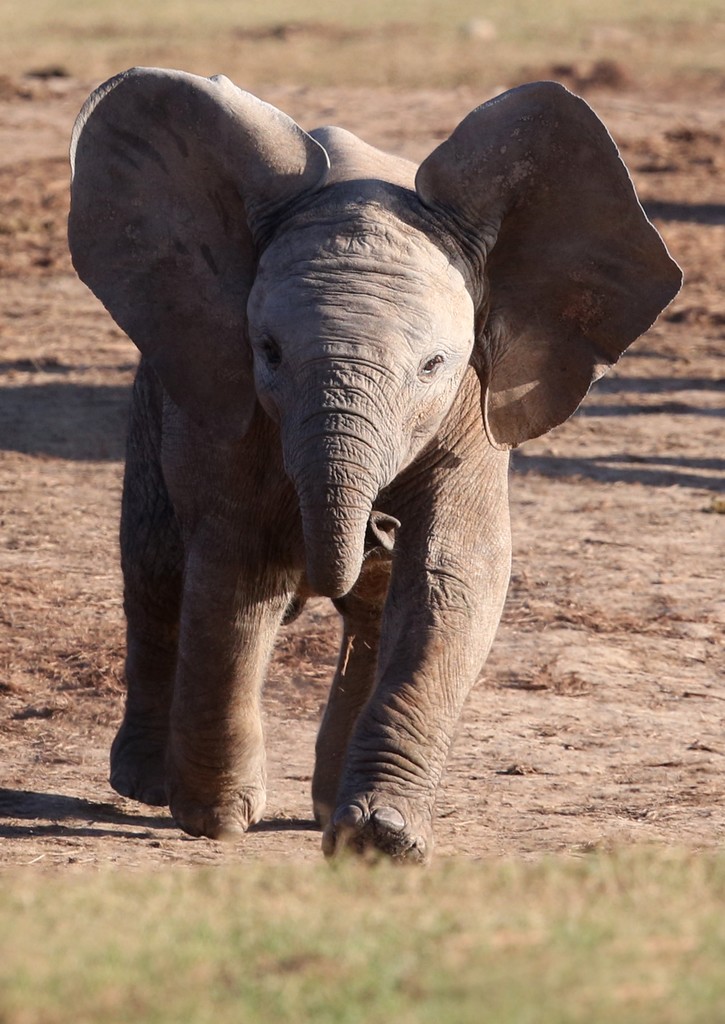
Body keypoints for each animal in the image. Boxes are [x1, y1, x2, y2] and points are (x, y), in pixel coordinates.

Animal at [68, 68, 679, 860]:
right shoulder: (230, 397)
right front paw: (214, 817)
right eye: (268, 351)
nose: (378, 526)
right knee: (155, 562)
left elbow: (452, 575)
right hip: (160, 378)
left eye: (432, 365)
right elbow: (239, 567)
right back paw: (146, 783)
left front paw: (378, 840)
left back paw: (327, 804)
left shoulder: (473, 401)